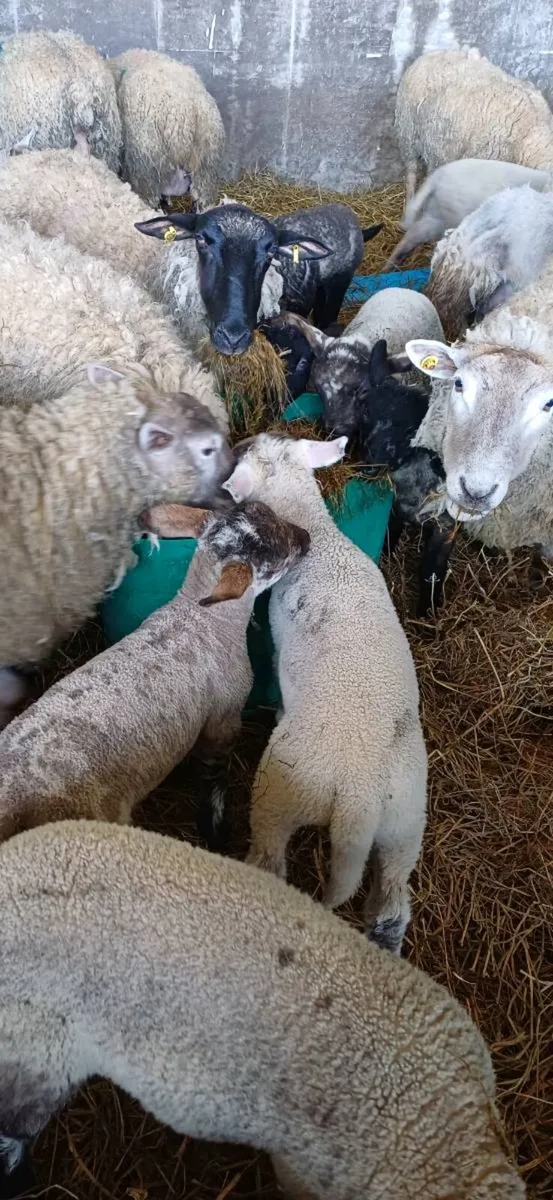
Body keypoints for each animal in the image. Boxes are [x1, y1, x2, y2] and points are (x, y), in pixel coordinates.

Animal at [0, 501, 308, 844]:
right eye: (279, 555)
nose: (307, 538)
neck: (200, 618)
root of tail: (11, 794)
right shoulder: (224, 717)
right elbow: (214, 772)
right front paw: (215, 828)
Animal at [224, 433, 427, 954]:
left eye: (248, 452)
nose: (236, 443)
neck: (320, 535)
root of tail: (361, 797)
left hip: (281, 795)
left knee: (270, 857)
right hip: (404, 827)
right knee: (393, 901)